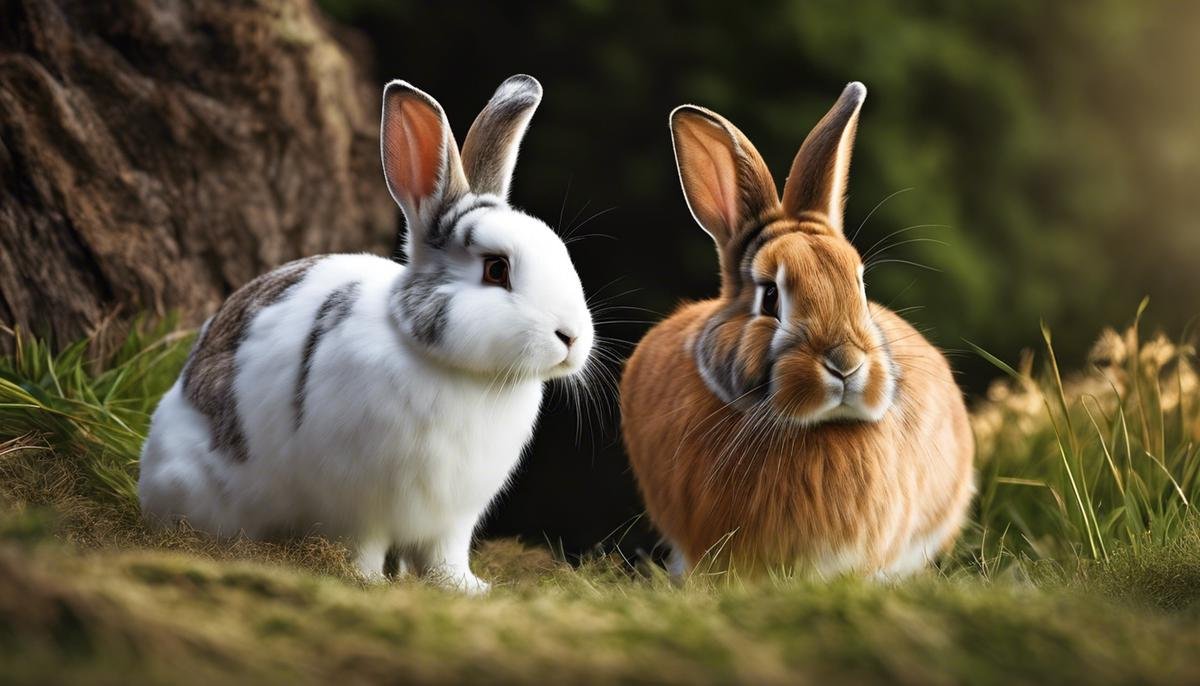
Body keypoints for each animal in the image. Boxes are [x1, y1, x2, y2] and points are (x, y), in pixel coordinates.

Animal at [140, 73, 595, 590]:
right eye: (496, 269)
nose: (571, 338)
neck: (451, 369)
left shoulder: (454, 517)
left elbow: (446, 556)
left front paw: (467, 588)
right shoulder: (358, 503)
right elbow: (363, 547)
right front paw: (369, 582)